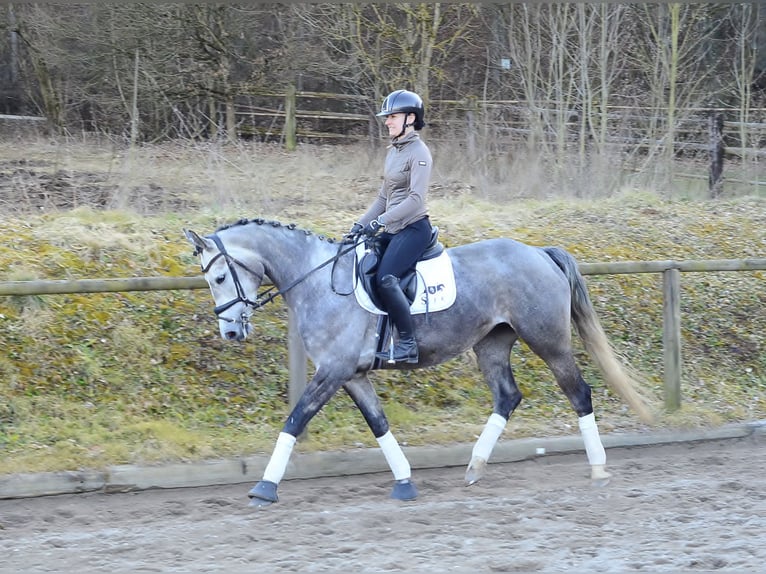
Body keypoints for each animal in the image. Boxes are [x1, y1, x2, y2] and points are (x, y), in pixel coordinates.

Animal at [184, 219, 656, 508]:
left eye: (220, 277)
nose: (231, 333)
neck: (318, 281)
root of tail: (539, 252)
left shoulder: (333, 371)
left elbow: (295, 420)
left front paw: (264, 488)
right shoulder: (351, 375)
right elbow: (378, 424)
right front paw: (405, 482)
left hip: (549, 341)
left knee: (579, 392)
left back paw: (598, 469)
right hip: (491, 344)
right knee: (507, 397)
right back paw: (474, 468)